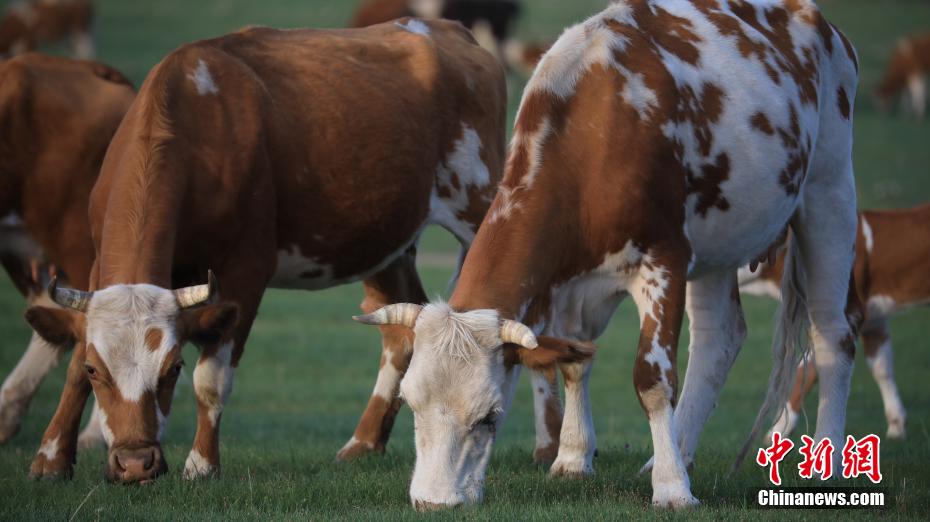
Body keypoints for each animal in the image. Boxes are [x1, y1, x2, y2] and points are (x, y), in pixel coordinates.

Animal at [23, 20, 508, 484]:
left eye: (173, 369)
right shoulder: (96, 266)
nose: (136, 463)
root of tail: (447, 31)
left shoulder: (245, 271)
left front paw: (202, 465)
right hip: (384, 243)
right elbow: (73, 360)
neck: (193, 122)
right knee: (400, 330)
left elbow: (211, 380)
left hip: (481, 206)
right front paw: (51, 459)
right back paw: (363, 443)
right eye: (96, 371)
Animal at [354, 0, 856, 508]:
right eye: (411, 402)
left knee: (832, 337)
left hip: (829, 193)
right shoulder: (566, 283)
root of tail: (820, 24)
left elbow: (653, 379)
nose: (432, 501)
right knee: (719, 339)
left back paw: (827, 461)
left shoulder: (664, 260)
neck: (595, 133)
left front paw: (672, 489)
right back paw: (677, 452)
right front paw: (574, 458)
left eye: (490, 416)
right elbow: (575, 359)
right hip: (718, 242)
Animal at [736, 203, 924, 438]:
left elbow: (808, 367)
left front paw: (777, 431)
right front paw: (897, 426)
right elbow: (881, 366)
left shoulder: (848, 312)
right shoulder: (875, 320)